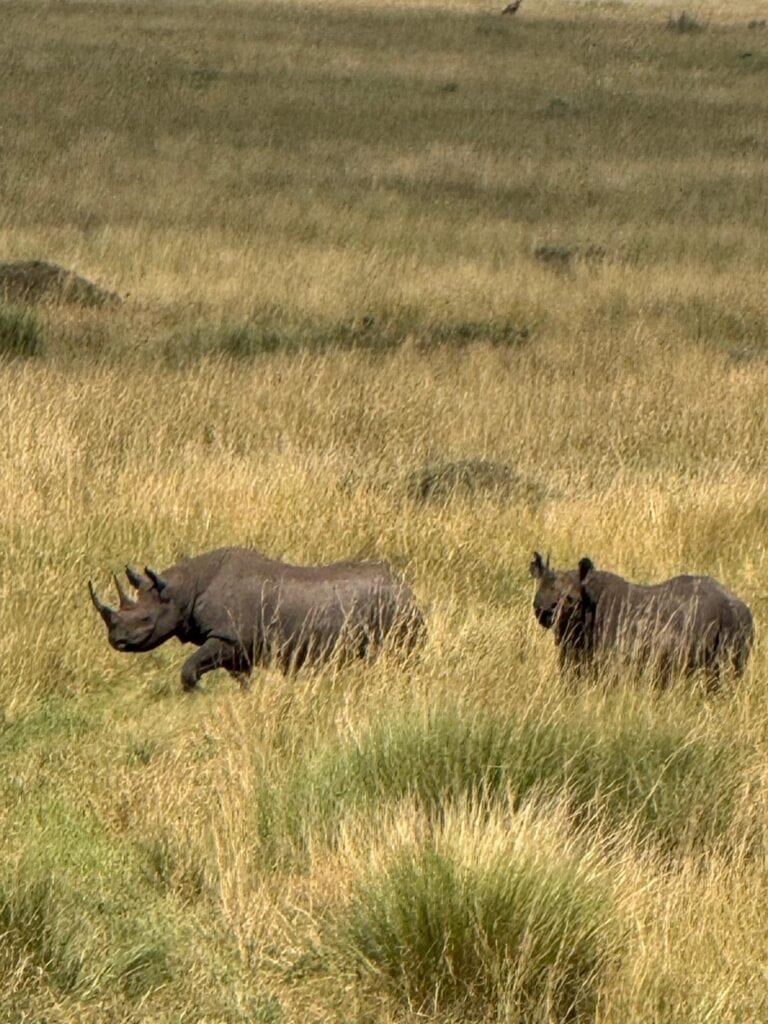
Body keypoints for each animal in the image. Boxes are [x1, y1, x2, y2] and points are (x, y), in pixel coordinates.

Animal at [89, 547, 425, 691]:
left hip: (394, 611)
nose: (116, 641)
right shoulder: (238, 648)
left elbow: (189, 669)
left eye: (145, 619)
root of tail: (406, 587)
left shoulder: (228, 636)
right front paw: (245, 697)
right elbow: (240, 678)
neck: (183, 589)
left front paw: (199, 692)